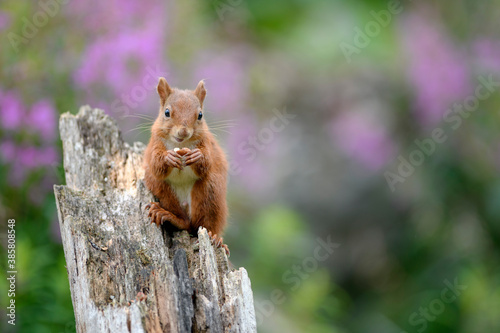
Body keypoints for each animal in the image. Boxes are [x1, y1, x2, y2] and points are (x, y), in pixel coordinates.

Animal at [144, 78, 229, 253]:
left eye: (200, 115)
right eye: (167, 112)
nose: (183, 132)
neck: (181, 144)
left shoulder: (206, 143)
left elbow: (207, 162)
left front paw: (197, 156)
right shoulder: (155, 142)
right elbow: (155, 164)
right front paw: (168, 158)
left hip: (210, 192)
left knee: (201, 224)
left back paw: (215, 238)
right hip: (162, 189)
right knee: (184, 222)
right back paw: (167, 215)